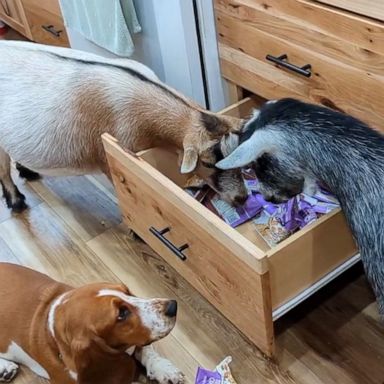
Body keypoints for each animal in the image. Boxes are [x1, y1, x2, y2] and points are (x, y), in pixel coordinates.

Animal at [0, 41, 246, 213]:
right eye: (207, 163)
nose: (242, 198)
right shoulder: (112, 155)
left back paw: (27, 170)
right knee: (3, 169)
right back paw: (16, 202)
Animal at [0, 262, 184, 384]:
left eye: (127, 291)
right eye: (121, 314)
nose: (173, 306)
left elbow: (147, 350)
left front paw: (165, 370)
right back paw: (5, 367)